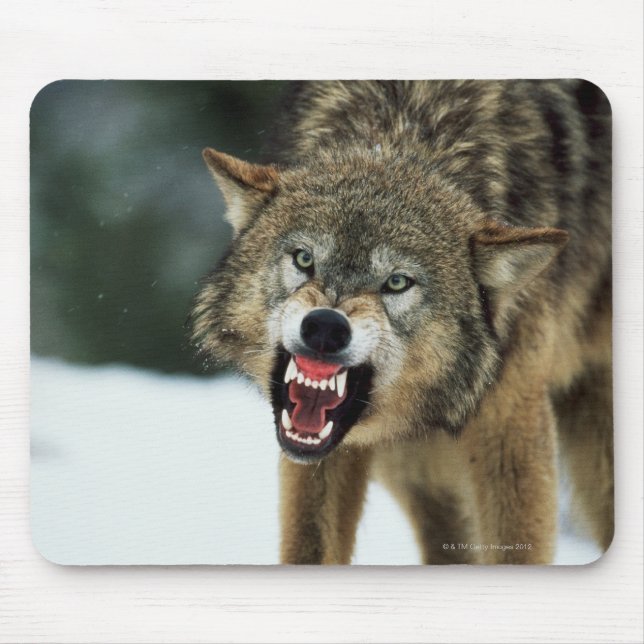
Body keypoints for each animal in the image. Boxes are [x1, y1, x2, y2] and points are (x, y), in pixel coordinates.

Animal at [192, 80, 612, 564]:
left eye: (396, 282)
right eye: (304, 259)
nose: (325, 327)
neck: (406, 126)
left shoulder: (511, 425)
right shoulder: (328, 453)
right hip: (417, 471)